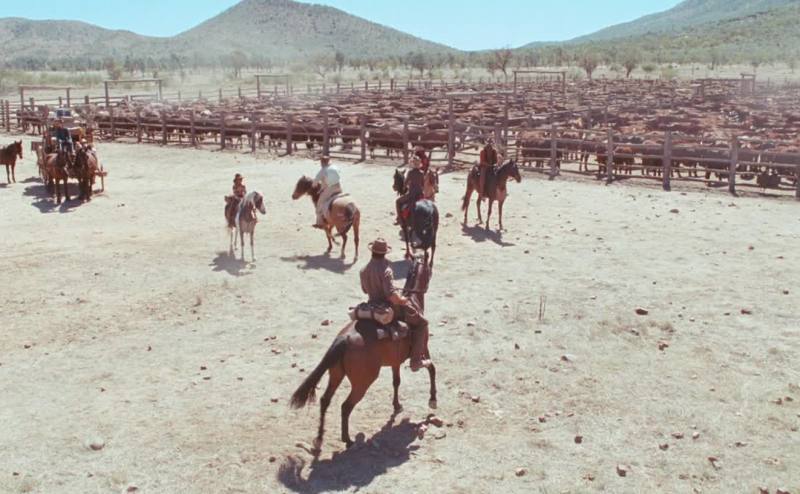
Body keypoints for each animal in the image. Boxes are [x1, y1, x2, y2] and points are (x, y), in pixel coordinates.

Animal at [290, 255, 436, 452]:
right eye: (428, 269)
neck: (413, 300)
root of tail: (343, 339)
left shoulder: (395, 362)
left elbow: (396, 382)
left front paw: (397, 405)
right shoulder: (423, 349)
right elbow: (431, 368)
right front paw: (432, 400)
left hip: (336, 374)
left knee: (325, 400)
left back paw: (319, 439)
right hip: (362, 383)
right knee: (346, 406)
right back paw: (348, 440)